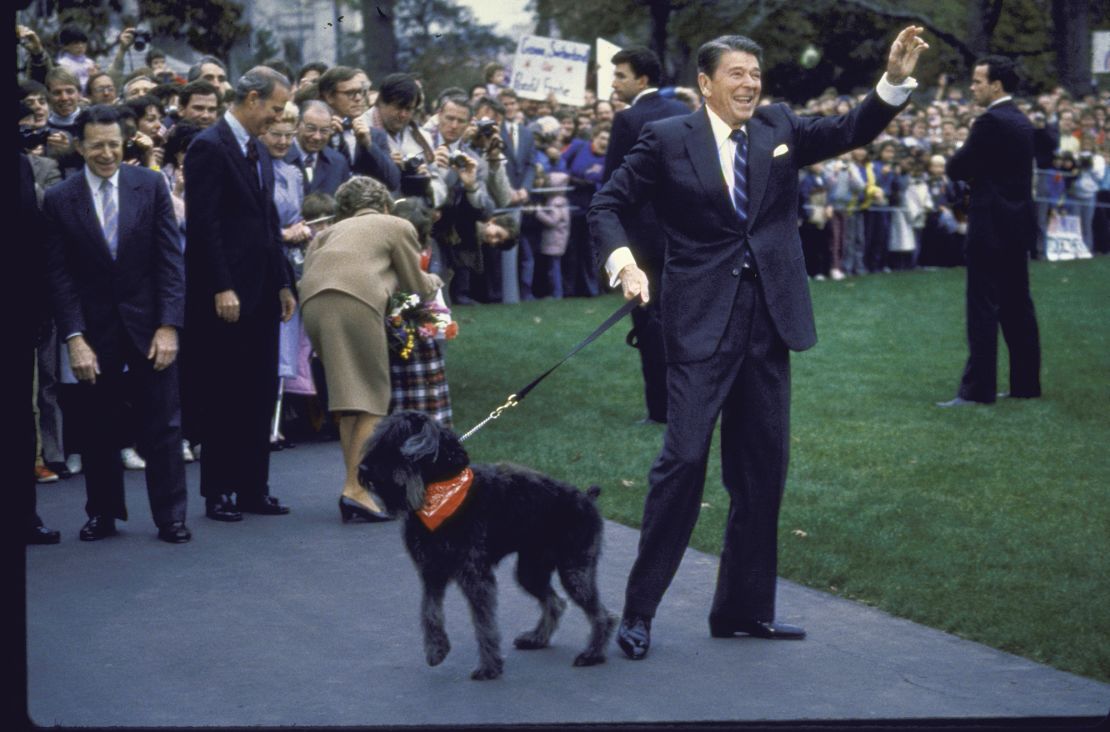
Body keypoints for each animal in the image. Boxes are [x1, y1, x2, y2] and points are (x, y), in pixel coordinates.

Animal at [359, 413, 617, 679]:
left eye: (399, 442)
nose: (364, 470)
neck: (438, 493)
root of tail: (588, 498)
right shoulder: (431, 572)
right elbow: (430, 612)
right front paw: (436, 649)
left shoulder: (475, 577)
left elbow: (484, 624)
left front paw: (489, 666)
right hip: (531, 572)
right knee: (555, 602)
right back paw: (537, 639)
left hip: (575, 572)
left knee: (603, 615)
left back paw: (593, 654)